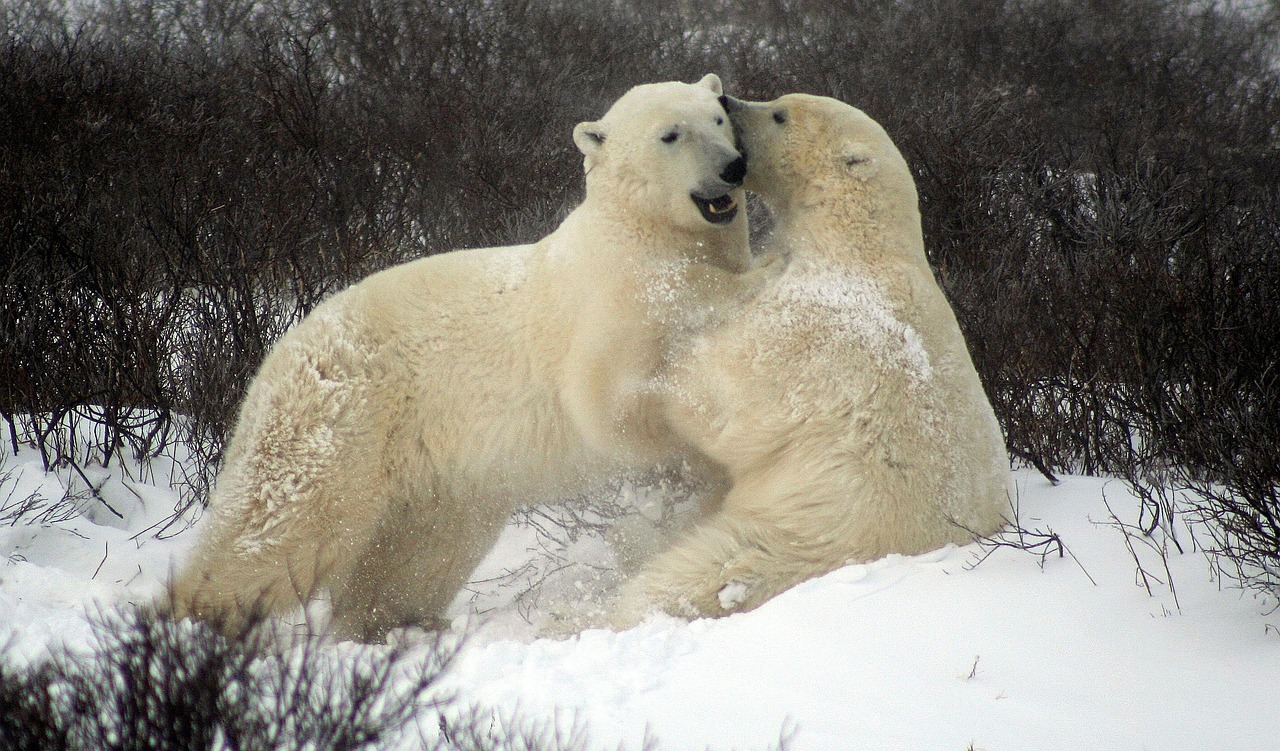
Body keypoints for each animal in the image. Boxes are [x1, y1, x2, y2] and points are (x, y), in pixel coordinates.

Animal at [167, 74, 768, 639]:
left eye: (719, 118)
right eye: (671, 134)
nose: (733, 167)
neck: (641, 233)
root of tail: (279, 351)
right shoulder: (609, 304)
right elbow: (611, 406)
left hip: (438, 477)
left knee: (419, 555)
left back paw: (394, 622)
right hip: (341, 418)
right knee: (280, 527)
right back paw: (192, 620)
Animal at [609, 92, 1008, 621]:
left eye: (780, 113)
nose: (727, 99)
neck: (856, 242)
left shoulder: (816, 327)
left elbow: (727, 397)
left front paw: (662, 366)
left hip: (800, 532)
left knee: (694, 573)